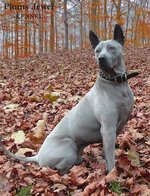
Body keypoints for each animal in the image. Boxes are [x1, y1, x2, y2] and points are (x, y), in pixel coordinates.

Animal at [0, 24, 138, 175]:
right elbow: (110, 156)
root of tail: (37, 156)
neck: (115, 83)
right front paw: (112, 173)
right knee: (60, 169)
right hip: (69, 145)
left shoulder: (116, 128)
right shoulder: (108, 129)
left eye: (111, 48)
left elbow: (107, 152)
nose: (101, 58)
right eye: (97, 51)